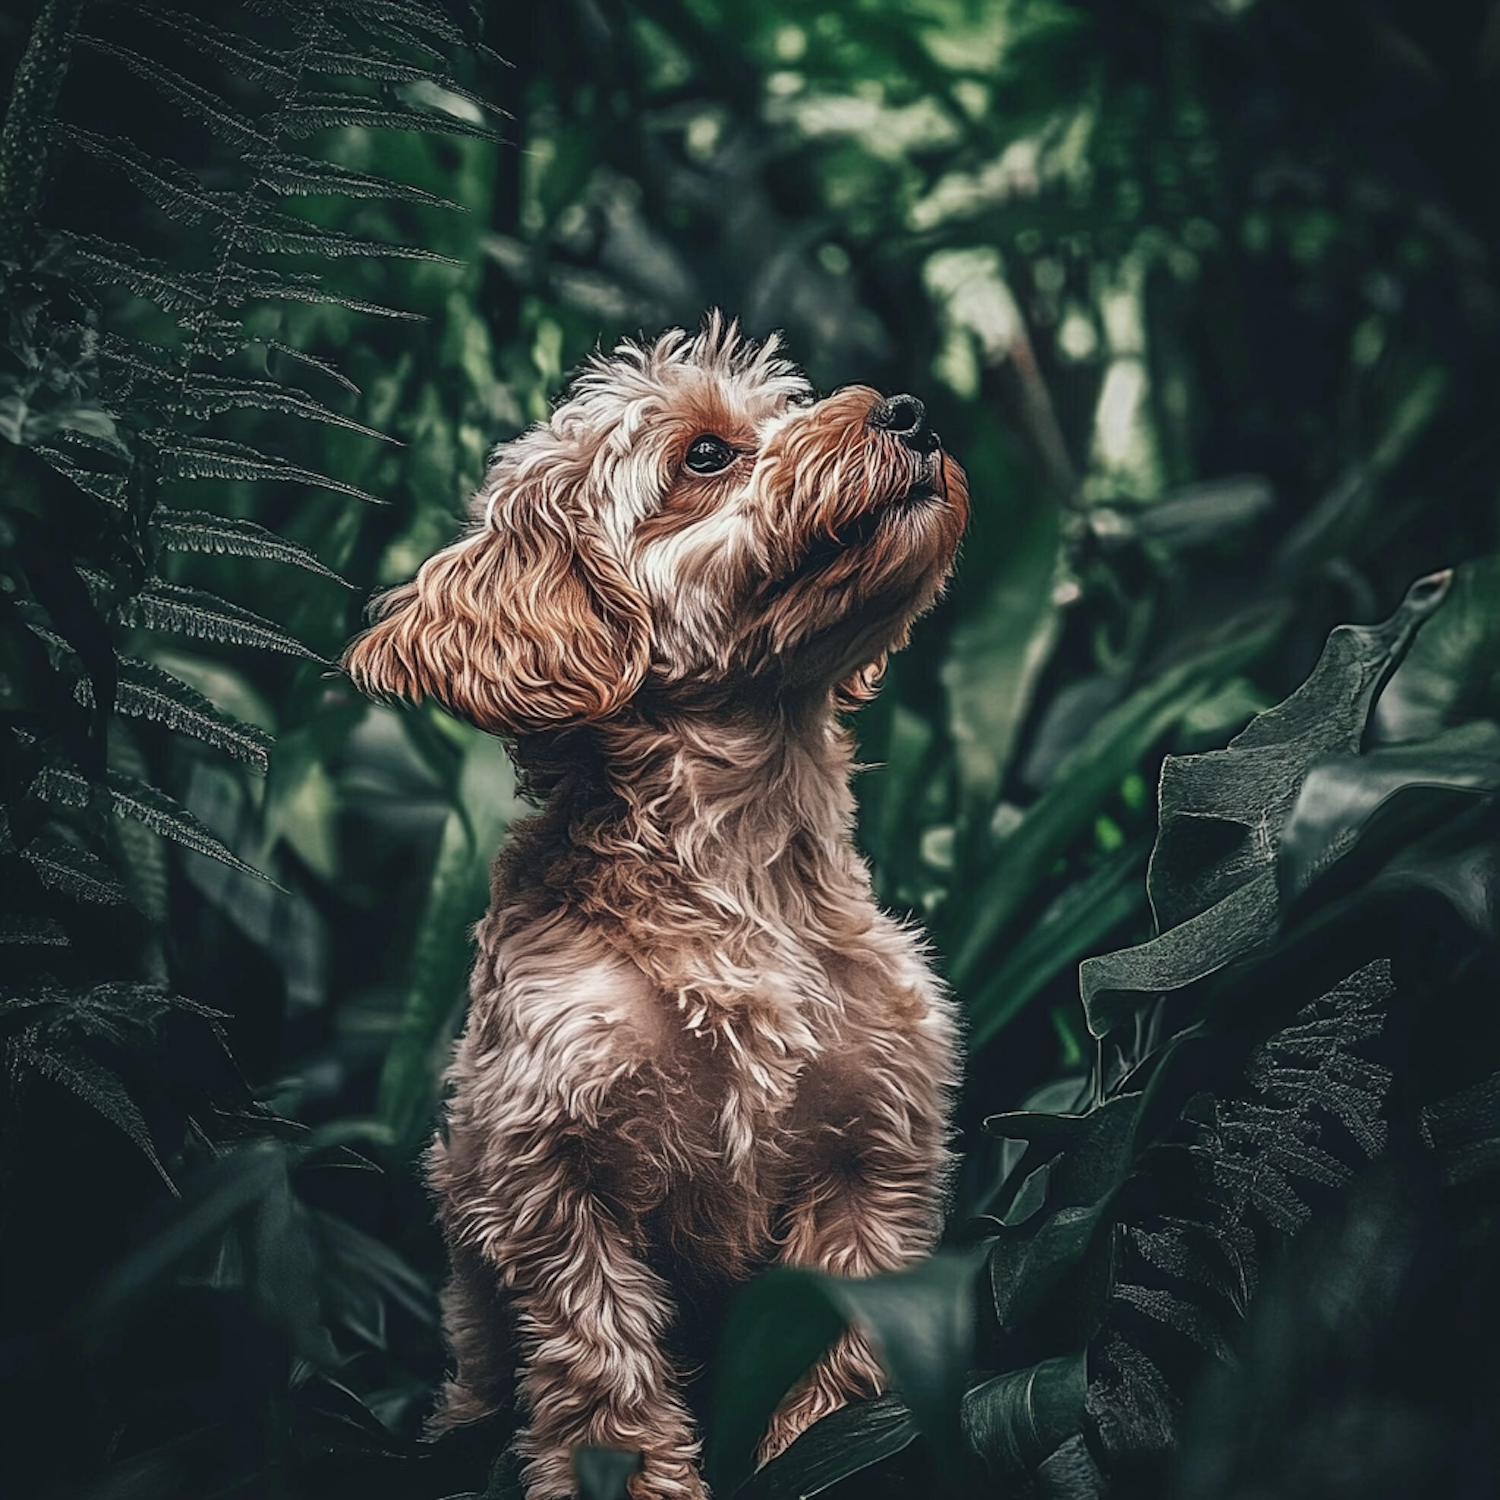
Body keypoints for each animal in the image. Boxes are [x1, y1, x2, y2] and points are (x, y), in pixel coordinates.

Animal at [343, 319, 966, 1500]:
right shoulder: (554, 1173)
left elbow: (829, 1368)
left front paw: (818, 1448)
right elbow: (605, 1379)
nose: (910, 410)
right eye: (706, 456)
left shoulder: (871, 1157)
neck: (737, 870)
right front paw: (633, 1477)